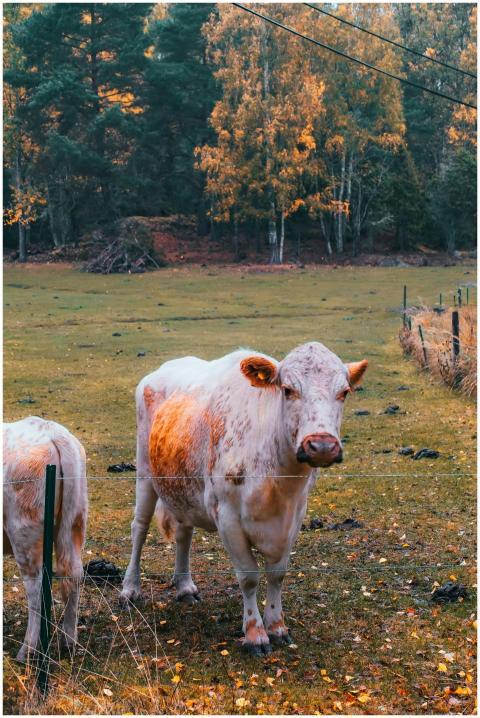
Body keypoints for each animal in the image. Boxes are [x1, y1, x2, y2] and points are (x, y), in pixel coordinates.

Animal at [3, 417, 88, 662]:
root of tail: (52, 430)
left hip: (23, 533)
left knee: (36, 587)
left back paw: (27, 650)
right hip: (75, 521)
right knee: (74, 574)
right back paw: (68, 641)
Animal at [121, 342, 367, 655]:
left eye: (344, 392)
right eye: (287, 389)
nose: (322, 446)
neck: (278, 481)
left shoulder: (294, 516)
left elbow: (277, 573)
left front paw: (277, 626)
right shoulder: (227, 516)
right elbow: (249, 577)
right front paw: (255, 633)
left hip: (184, 487)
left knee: (183, 534)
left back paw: (185, 586)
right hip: (145, 473)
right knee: (139, 529)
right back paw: (130, 588)